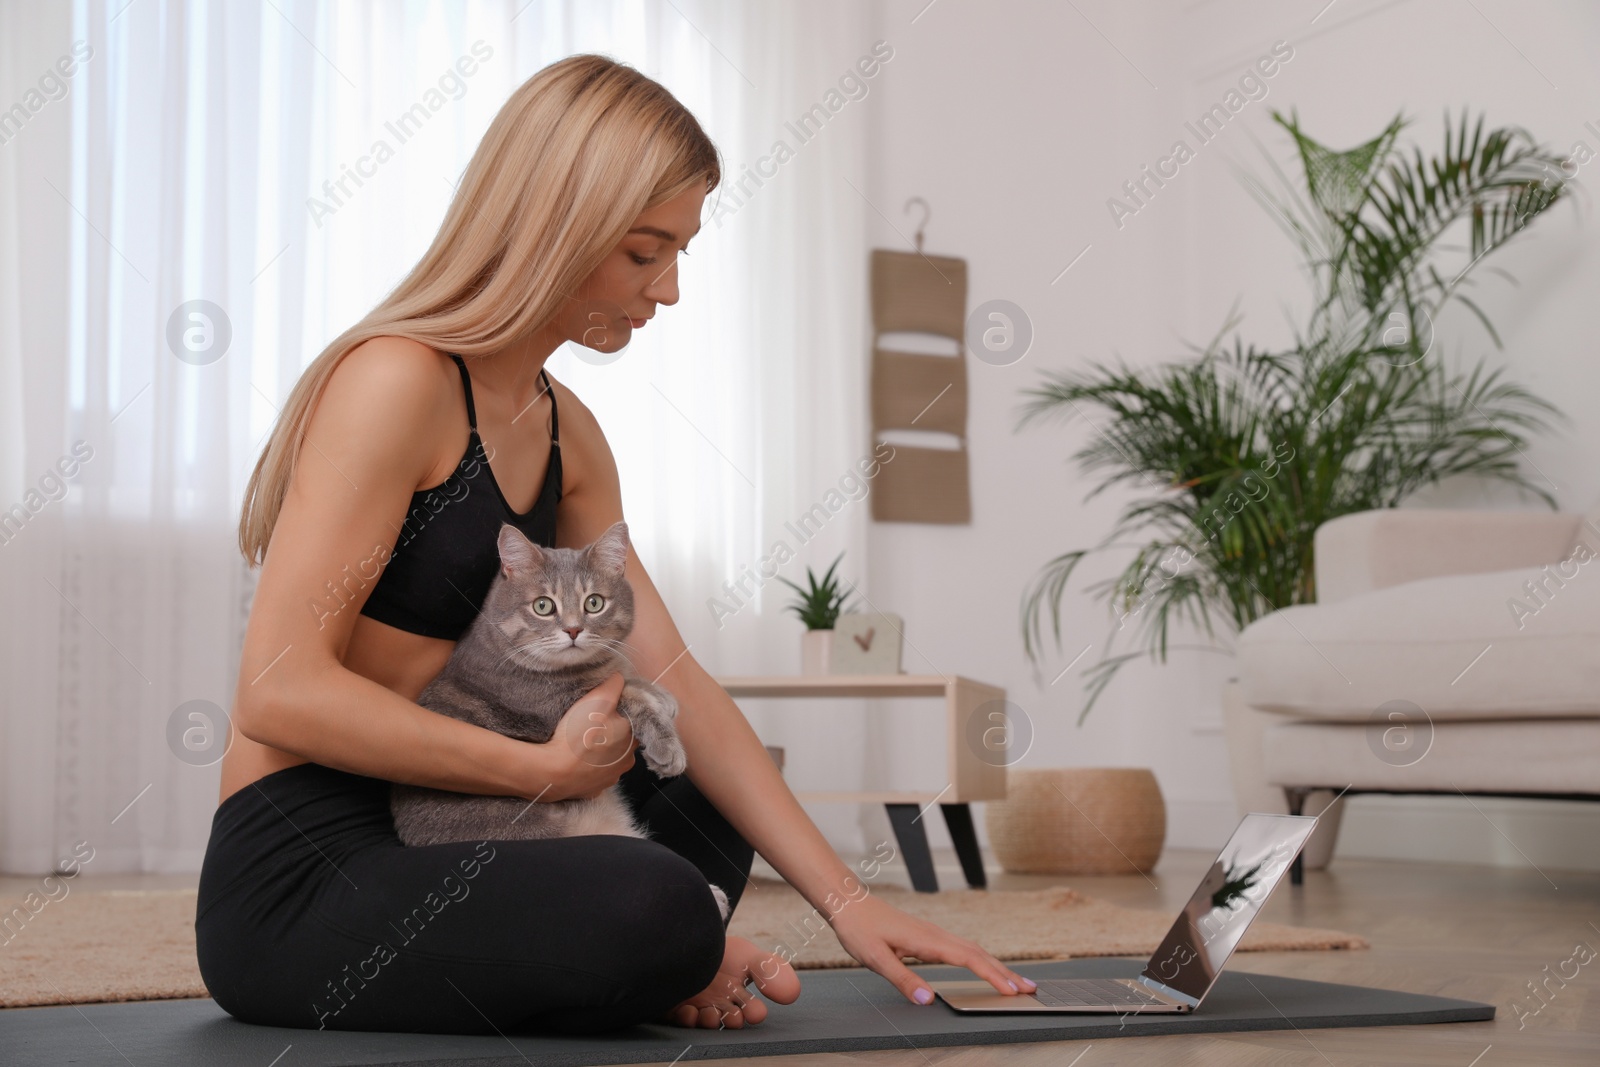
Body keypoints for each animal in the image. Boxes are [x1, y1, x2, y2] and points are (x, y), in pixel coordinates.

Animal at [393, 518, 732, 921]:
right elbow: (624, 691)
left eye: (594, 603)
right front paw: (666, 744)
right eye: (543, 606)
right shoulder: (556, 709)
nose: (572, 629)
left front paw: (662, 696)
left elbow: (625, 677)